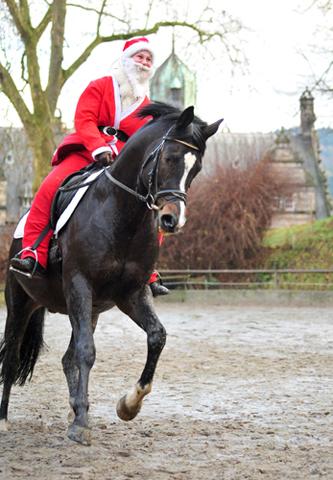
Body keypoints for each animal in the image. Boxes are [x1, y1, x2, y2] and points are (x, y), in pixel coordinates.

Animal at [0, 103, 223, 444]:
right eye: (169, 158)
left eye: (196, 168)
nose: (172, 220)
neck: (123, 213)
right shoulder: (79, 284)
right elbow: (87, 351)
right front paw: (81, 424)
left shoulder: (131, 293)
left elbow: (156, 336)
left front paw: (129, 404)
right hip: (20, 304)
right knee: (11, 359)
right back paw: (4, 419)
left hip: (89, 308)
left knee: (67, 358)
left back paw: (76, 408)